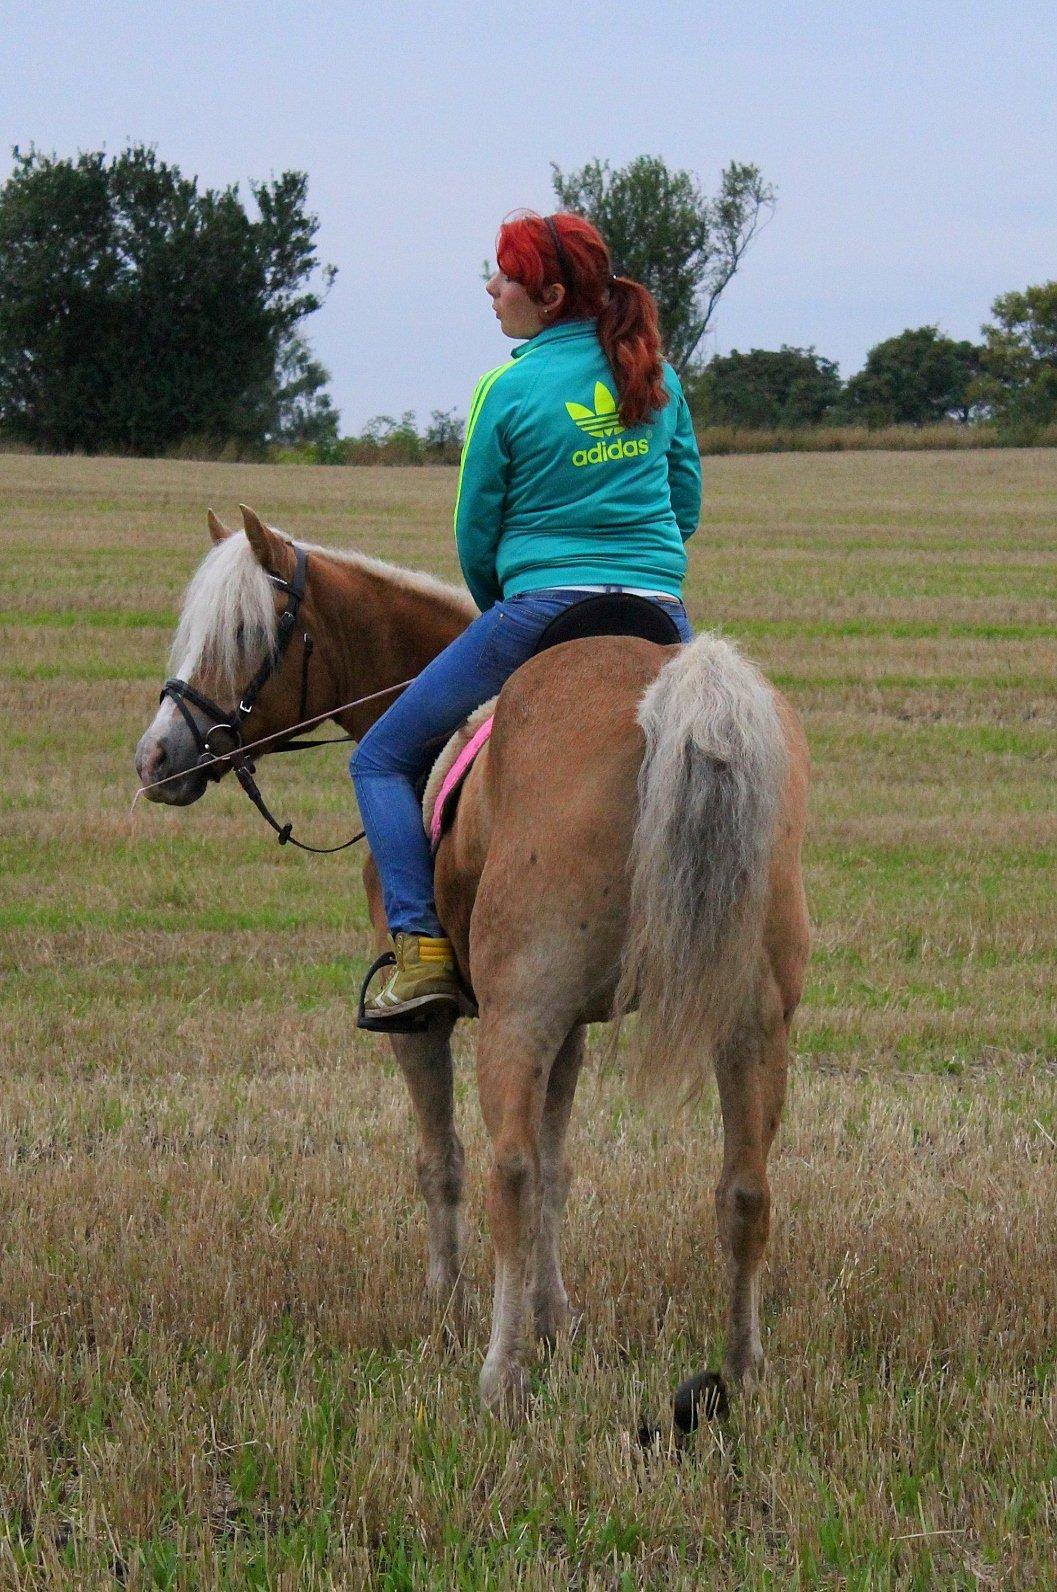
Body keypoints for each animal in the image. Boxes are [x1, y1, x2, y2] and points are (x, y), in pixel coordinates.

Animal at [134, 506, 808, 1420]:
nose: (157, 758)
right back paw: (739, 1372)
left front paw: (446, 1305)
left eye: (246, 633)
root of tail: (679, 702)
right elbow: (561, 1167)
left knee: (507, 1174)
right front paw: (555, 1318)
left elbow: (445, 1163)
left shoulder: (436, 1024)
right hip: (751, 1020)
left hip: (519, 1014)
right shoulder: (571, 1026)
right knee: (742, 1188)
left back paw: (499, 1373)